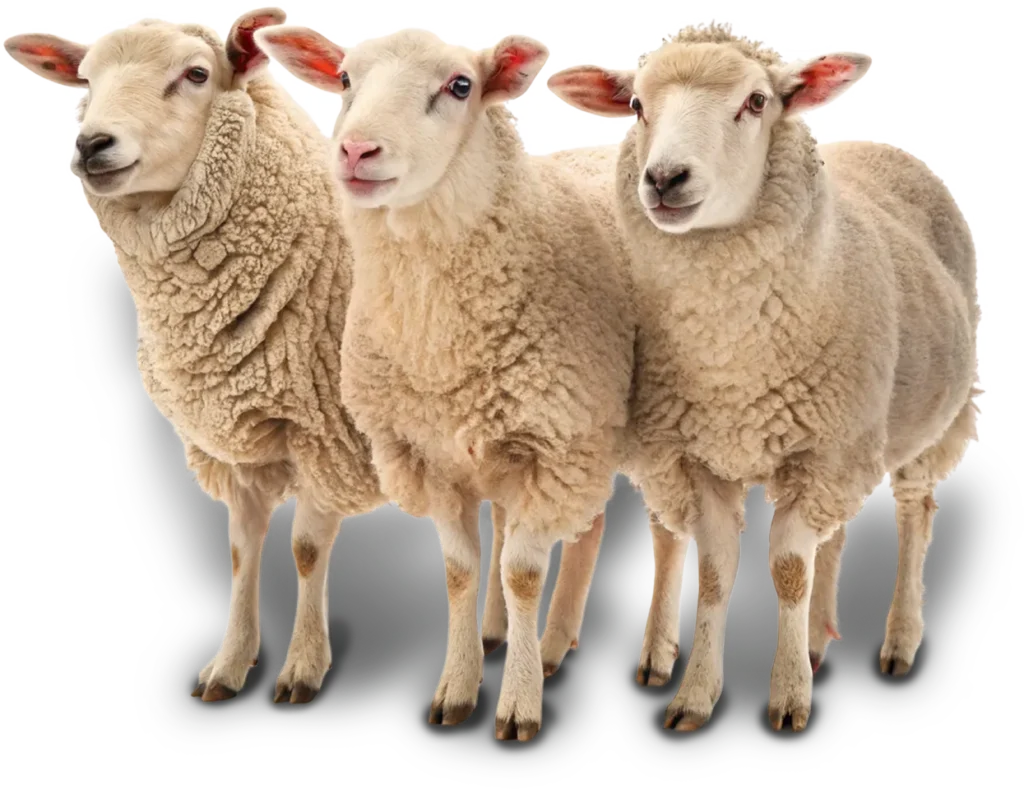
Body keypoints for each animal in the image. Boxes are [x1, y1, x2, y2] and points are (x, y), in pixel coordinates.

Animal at [3, 7, 392, 705]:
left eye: (195, 74)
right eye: (86, 80)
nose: (91, 145)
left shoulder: (327, 433)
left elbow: (305, 549)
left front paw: (301, 669)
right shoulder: (232, 445)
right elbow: (241, 550)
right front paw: (228, 666)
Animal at [255, 25, 638, 742]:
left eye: (461, 86)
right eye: (344, 79)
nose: (356, 150)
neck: (440, 344)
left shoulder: (551, 446)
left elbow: (522, 573)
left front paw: (518, 703)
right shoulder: (427, 455)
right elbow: (461, 573)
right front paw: (458, 687)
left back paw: (549, 644)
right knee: (581, 525)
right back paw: (523, 637)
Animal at [546, 20, 983, 732]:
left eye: (756, 102)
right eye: (636, 105)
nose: (664, 178)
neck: (733, 368)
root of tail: (879, 140)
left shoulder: (820, 451)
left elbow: (787, 570)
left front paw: (788, 698)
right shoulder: (705, 457)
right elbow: (718, 572)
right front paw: (696, 696)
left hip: (930, 419)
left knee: (916, 510)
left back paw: (899, 640)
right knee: (838, 533)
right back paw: (819, 636)